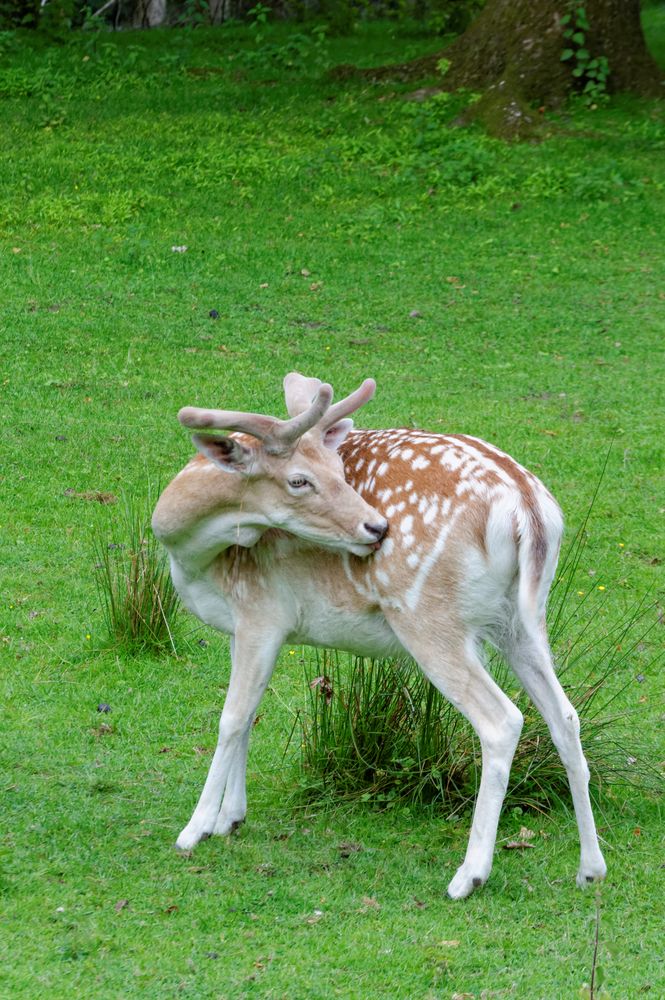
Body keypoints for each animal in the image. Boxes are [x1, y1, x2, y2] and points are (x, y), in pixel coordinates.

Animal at [152, 374, 608, 900]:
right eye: (299, 479)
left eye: (337, 470)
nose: (375, 527)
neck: (194, 555)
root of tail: (527, 508)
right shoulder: (243, 624)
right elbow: (248, 717)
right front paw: (231, 818)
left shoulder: (261, 612)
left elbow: (230, 718)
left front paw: (195, 829)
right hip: (520, 620)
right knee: (565, 716)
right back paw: (591, 868)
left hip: (427, 616)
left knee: (502, 720)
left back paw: (468, 876)